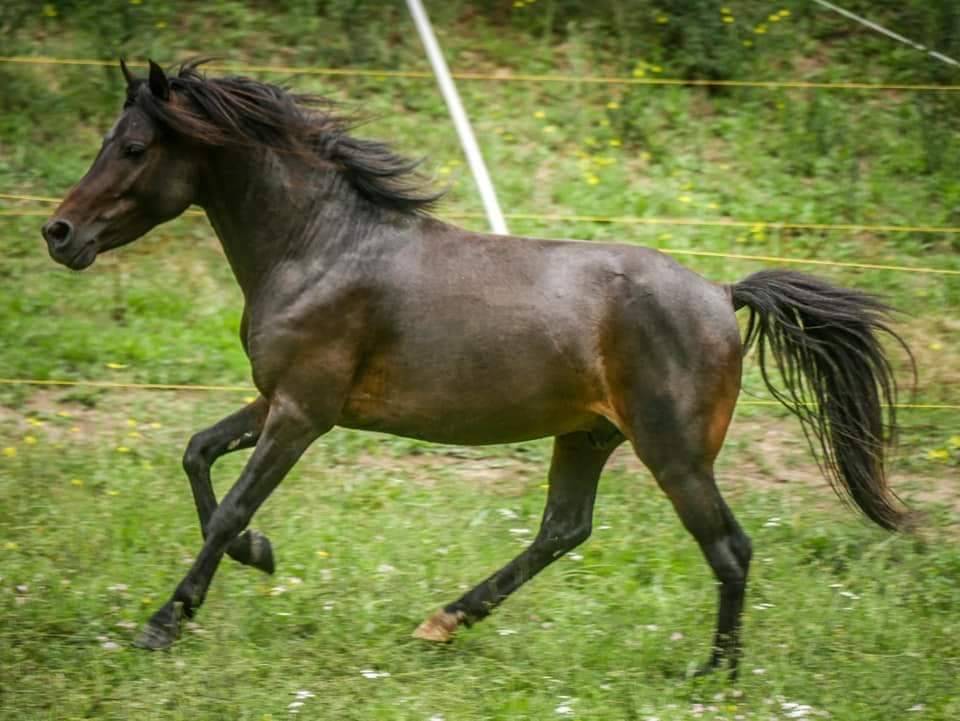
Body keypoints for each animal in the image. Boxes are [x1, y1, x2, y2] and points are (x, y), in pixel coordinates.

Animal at [41, 59, 912, 676]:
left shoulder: (302, 413)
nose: (59, 233)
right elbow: (196, 453)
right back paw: (443, 620)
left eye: (134, 147)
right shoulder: (278, 400)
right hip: (589, 436)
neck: (321, 245)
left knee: (729, 548)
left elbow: (227, 508)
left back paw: (713, 676)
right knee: (564, 529)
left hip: (675, 454)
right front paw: (261, 554)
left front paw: (165, 621)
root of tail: (721, 293)